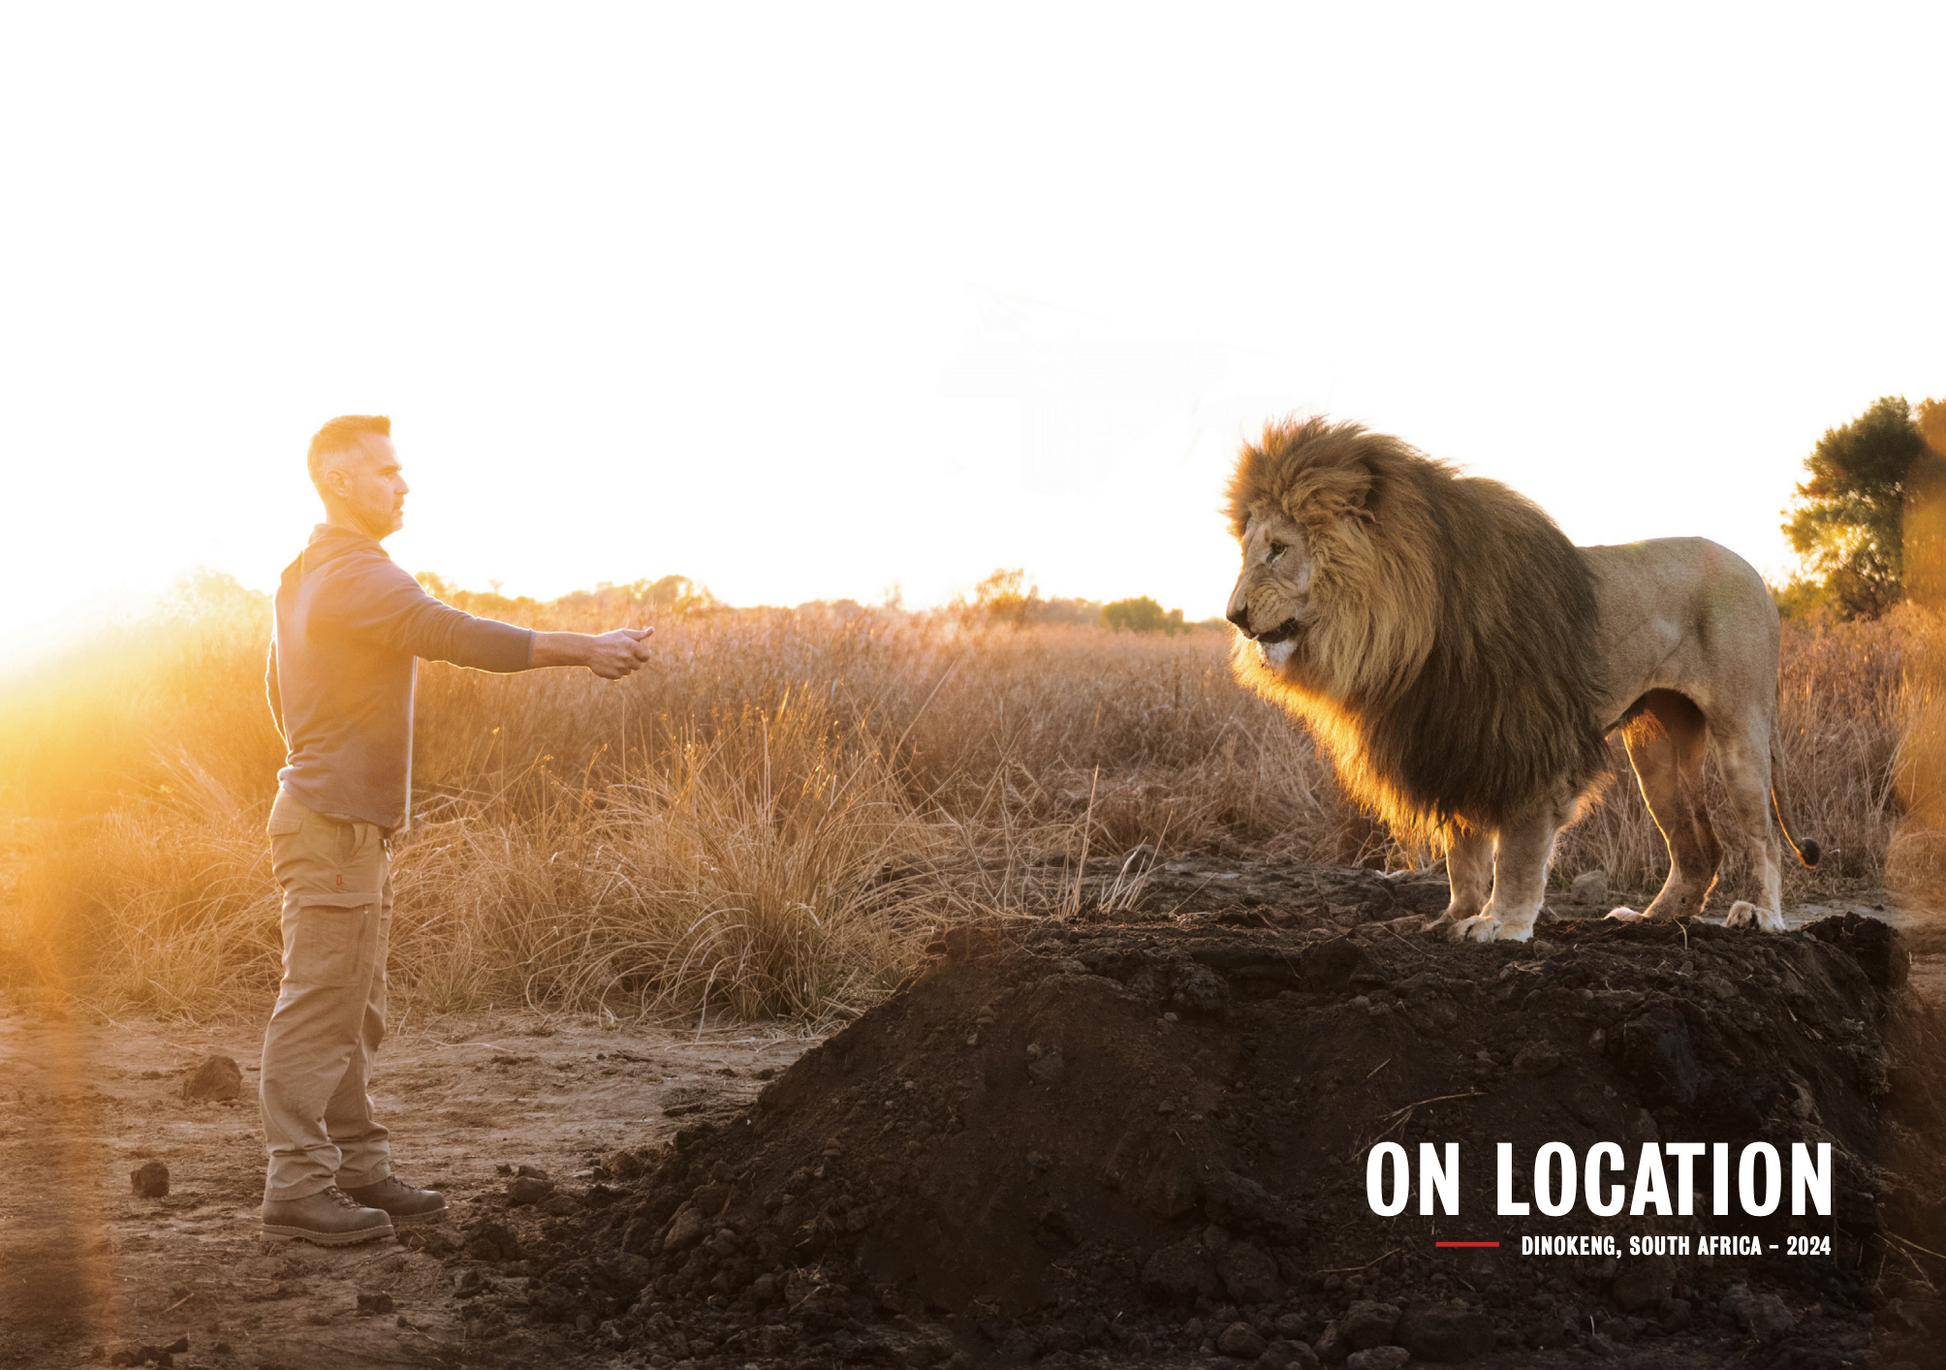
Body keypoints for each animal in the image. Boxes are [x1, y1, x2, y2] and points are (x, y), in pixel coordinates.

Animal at [1222, 420, 1813, 941]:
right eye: (1247, 550)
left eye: (1278, 548)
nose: (1234, 616)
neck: (1411, 625)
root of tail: (1754, 572)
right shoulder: (1453, 739)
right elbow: (1464, 854)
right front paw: (1453, 918)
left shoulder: (1527, 740)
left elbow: (1519, 853)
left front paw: (1499, 923)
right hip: (1658, 746)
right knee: (1698, 848)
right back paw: (1650, 920)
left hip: (1741, 727)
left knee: (1763, 837)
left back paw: (1759, 914)